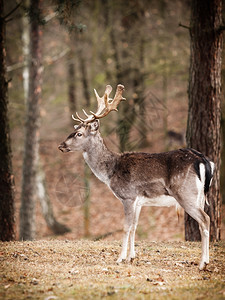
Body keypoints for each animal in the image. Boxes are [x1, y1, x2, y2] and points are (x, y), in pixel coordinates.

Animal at [58, 84, 214, 270]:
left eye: (79, 134)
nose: (61, 145)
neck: (110, 172)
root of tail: (203, 160)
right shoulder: (139, 201)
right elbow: (134, 226)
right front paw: (131, 257)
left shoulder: (128, 196)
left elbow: (126, 227)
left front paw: (120, 258)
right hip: (200, 196)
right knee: (205, 220)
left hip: (185, 193)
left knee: (205, 219)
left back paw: (203, 263)